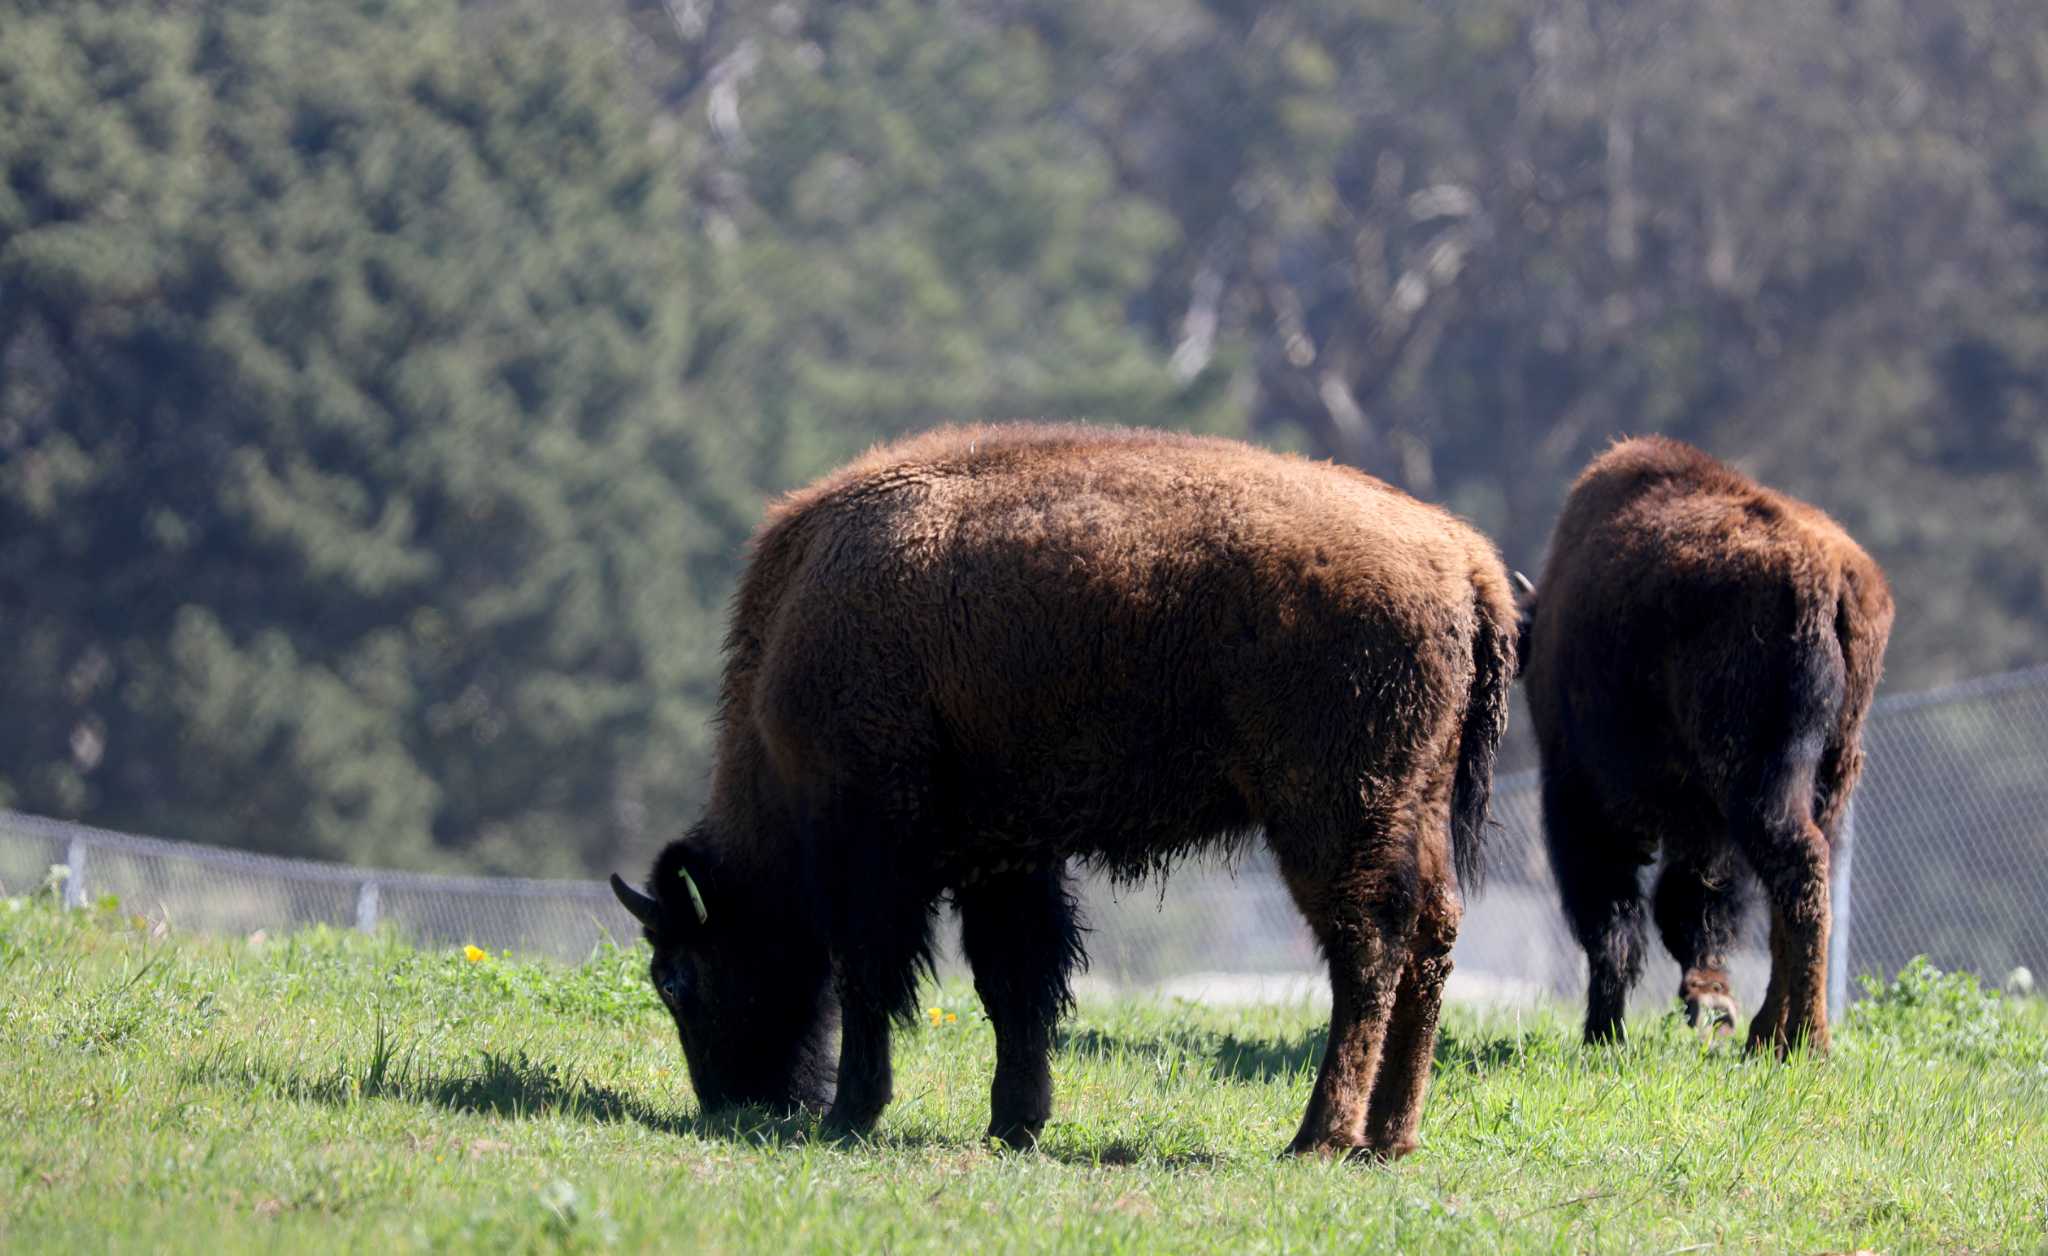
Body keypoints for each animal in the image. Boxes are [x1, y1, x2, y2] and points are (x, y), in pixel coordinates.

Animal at [606, 422, 1523, 1155]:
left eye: (675, 978)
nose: (733, 1103)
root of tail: (1463, 559)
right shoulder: (1000, 851)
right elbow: (1014, 979)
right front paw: (1015, 1121)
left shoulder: (877, 845)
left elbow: (876, 977)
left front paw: (854, 1113)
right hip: (1414, 804)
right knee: (1431, 937)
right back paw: (1389, 1140)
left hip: (1332, 812)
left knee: (1367, 947)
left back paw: (1319, 1138)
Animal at [1515, 436, 1892, 1049]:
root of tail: (1833, 579)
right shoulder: (1703, 826)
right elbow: (1693, 905)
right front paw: (1709, 1002)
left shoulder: (1582, 802)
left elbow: (1614, 922)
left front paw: (1603, 1030)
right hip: (1827, 778)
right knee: (1801, 883)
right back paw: (1765, 1035)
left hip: (1759, 784)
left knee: (1798, 868)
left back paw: (1805, 1041)